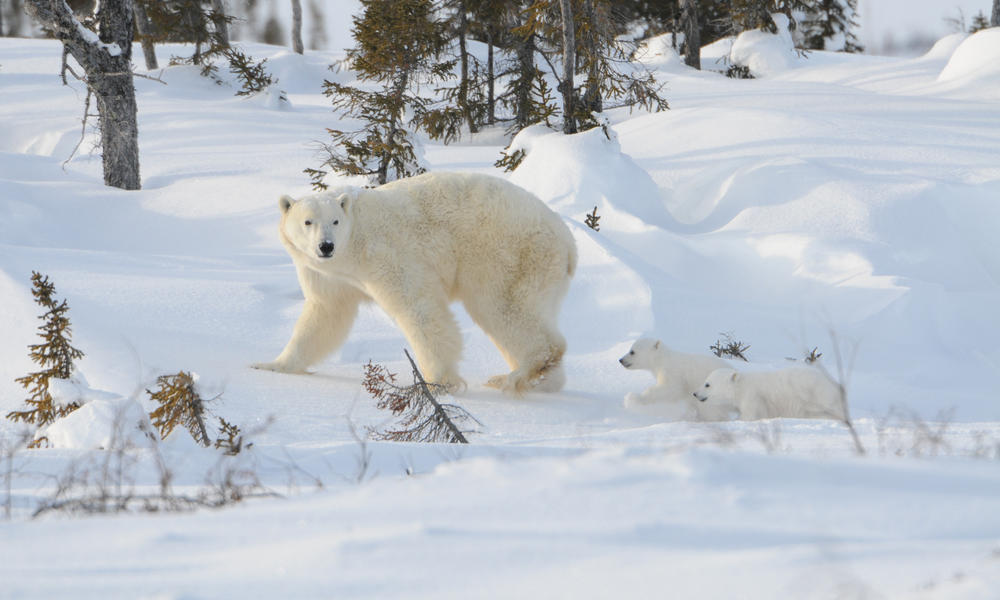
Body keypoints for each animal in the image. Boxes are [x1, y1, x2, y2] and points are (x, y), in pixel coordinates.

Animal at [252, 170, 580, 394]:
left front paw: (437, 382)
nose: (326, 246)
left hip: (509, 254)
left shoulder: (386, 253)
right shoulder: (328, 274)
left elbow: (418, 308)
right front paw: (271, 365)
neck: (353, 244)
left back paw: (515, 375)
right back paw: (535, 380)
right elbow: (324, 315)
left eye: (334, 221)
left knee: (503, 308)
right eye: (307, 221)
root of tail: (568, 241)